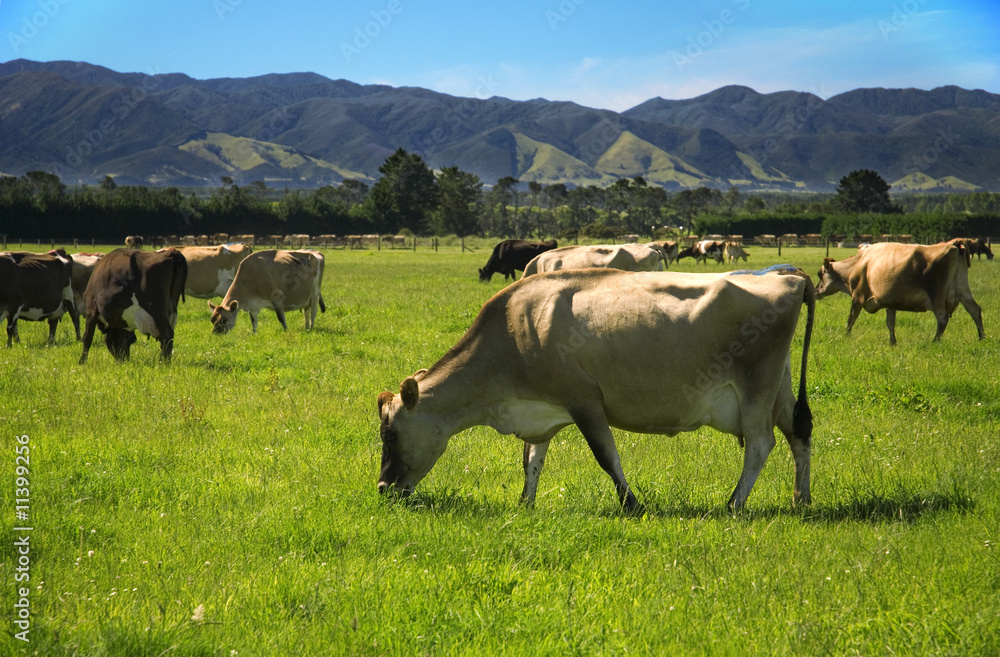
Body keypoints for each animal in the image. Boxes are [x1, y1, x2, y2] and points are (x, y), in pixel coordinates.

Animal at [377, 265, 816, 511]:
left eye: (390, 434)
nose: (382, 488)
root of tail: (789, 276)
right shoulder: (540, 412)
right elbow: (531, 460)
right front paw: (525, 504)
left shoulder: (584, 400)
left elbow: (607, 457)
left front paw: (632, 504)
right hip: (779, 388)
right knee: (799, 434)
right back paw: (801, 499)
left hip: (756, 386)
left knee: (760, 445)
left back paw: (734, 503)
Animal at [815, 241, 985, 345]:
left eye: (820, 274)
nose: (816, 291)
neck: (858, 264)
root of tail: (953, 246)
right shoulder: (890, 301)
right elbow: (890, 323)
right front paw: (893, 342)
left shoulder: (858, 296)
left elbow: (851, 319)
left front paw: (846, 336)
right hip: (963, 289)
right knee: (975, 310)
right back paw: (982, 338)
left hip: (936, 295)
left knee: (942, 318)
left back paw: (935, 341)